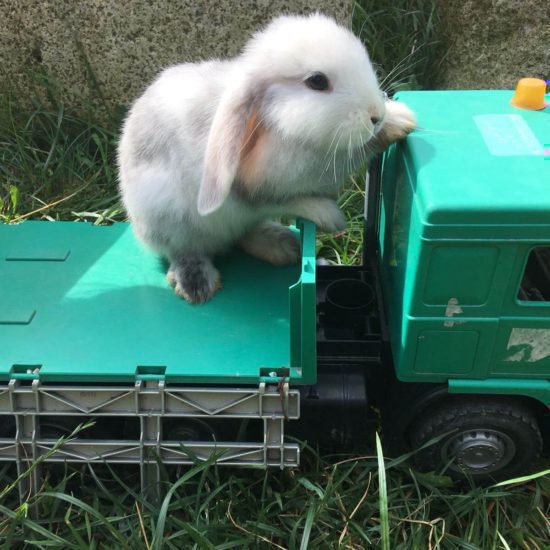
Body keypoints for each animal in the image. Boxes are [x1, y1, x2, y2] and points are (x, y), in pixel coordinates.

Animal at [117, 12, 418, 304]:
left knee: (243, 234)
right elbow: (286, 200)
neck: (278, 128)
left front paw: (400, 119)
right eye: (317, 81)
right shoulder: (254, 190)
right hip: (164, 216)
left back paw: (282, 245)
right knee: (185, 249)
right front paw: (329, 215)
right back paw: (197, 283)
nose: (375, 115)